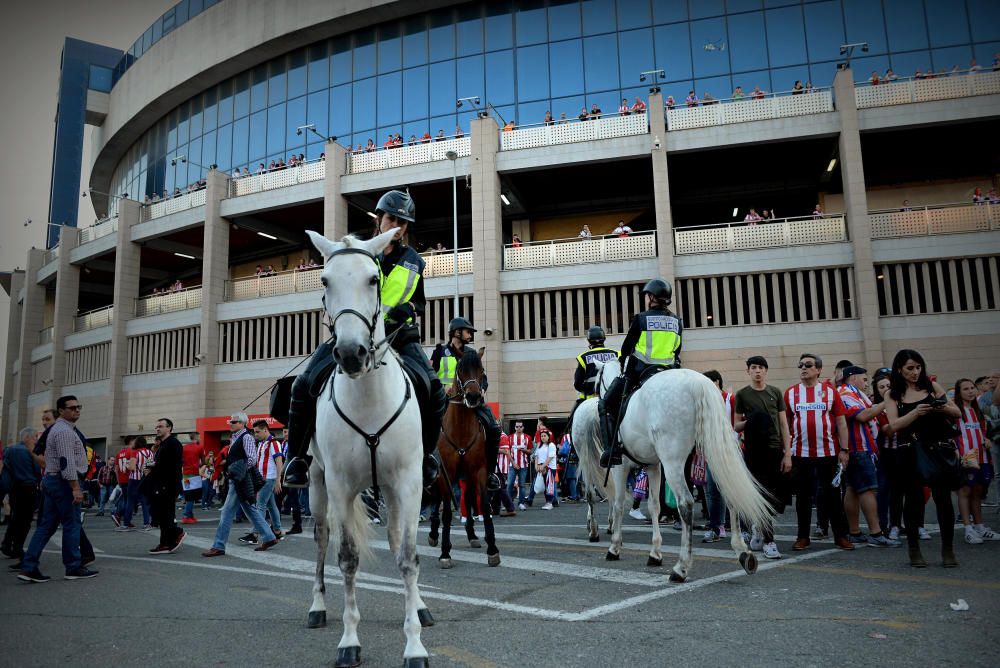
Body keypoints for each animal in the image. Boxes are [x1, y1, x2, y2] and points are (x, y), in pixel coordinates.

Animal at [304, 227, 430, 664]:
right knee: (322, 539)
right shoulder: (340, 484)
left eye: (373, 279)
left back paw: (420, 608)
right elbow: (347, 558)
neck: (369, 397)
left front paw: (414, 645)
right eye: (325, 281)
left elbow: (407, 557)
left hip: (390, 490)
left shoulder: (409, 481)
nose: (350, 353)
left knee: (395, 540)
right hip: (317, 484)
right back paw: (317, 607)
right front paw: (349, 641)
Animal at [426, 348, 500, 568]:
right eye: (460, 369)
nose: (473, 397)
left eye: (481, 370)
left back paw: (472, 535)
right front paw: (445, 553)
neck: (460, 429)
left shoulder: (479, 470)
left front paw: (492, 549)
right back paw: (433, 533)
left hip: (467, 475)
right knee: (438, 501)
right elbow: (447, 512)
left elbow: (484, 505)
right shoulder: (447, 472)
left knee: (467, 499)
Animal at [572, 358, 772, 580]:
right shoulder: (652, 466)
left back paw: (681, 567)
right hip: (714, 450)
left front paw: (614, 547)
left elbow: (618, 503)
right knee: (730, 493)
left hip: (673, 462)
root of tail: (697, 384)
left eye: (596, 380)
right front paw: (655, 553)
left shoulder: (620, 466)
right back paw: (743, 553)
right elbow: (654, 506)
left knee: (685, 503)